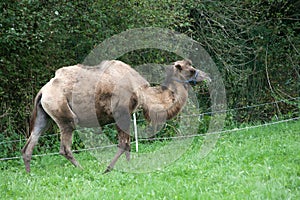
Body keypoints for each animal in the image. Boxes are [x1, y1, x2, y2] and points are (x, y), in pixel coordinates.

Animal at [21, 59, 211, 172]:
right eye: (191, 69)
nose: (207, 76)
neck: (143, 93)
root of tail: (44, 90)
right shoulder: (122, 114)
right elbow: (123, 144)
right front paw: (108, 169)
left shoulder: (126, 116)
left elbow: (127, 145)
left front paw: (129, 166)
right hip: (63, 113)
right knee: (65, 146)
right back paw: (83, 169)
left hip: (44, 115)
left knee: (29, 144)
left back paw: (29, 175)